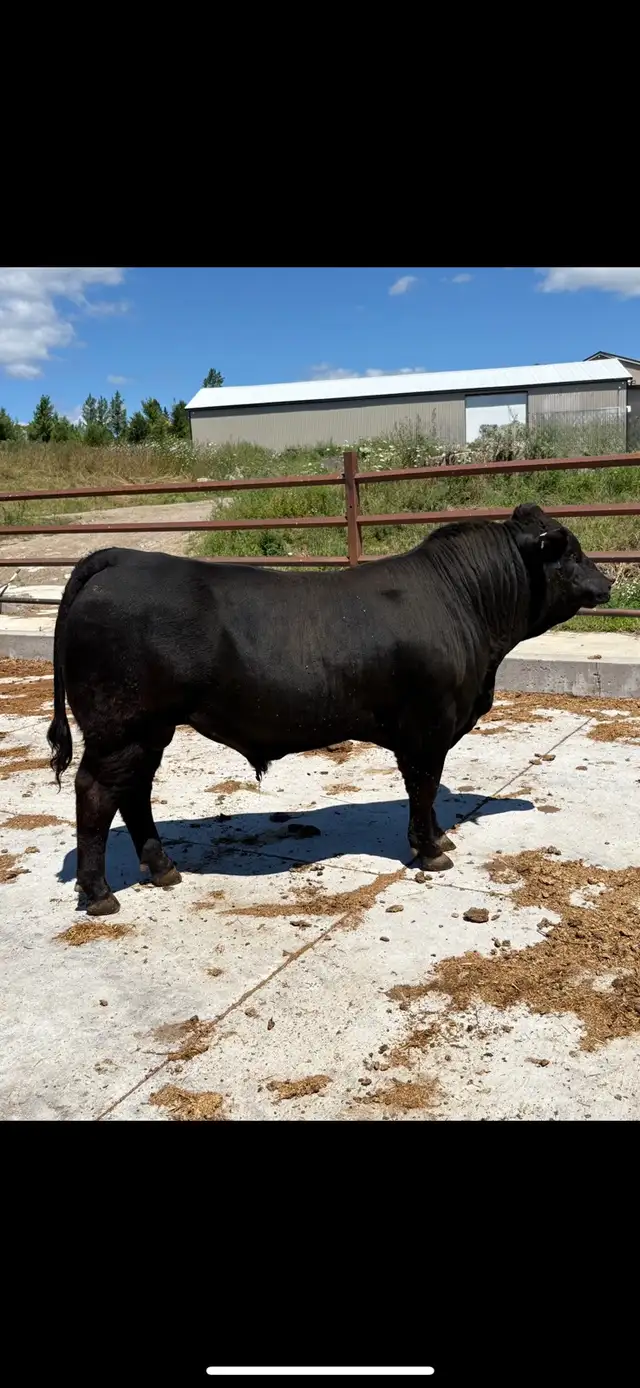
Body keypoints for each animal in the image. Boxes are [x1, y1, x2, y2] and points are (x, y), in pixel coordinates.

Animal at [47, 503, 611, 916]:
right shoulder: (429, 726)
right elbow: (424, 786)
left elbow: (426, 792)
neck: (463, 604)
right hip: (121, 728)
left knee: (134, 792)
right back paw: (100, 894)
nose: (607, 583)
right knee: (96, 793)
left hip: (149, 730)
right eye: (570, 552)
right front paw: (430, 851)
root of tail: (122, 557)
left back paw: (163, 867)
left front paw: (438, 839)